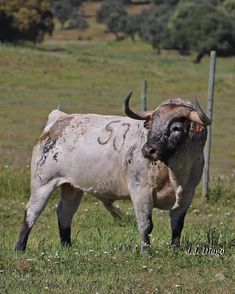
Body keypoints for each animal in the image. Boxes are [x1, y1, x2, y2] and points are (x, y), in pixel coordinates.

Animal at [15, 91, 209, 250]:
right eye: (152, 124)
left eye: (176, 127)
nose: (148, 150)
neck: (175, 173)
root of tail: (60, 118)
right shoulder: (141, 192)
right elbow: (146, 224)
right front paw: (145, 251)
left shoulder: (187, 195)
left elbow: (177, 225)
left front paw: (175, 249)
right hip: (42, 183)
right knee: (32, 212)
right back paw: (20, 248)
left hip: (72, 187)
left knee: (65, 213)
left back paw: (67, 247)